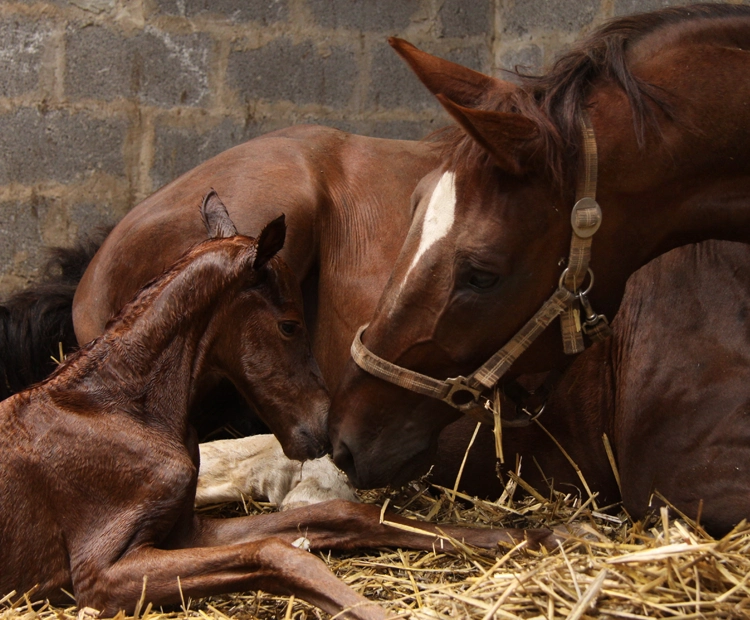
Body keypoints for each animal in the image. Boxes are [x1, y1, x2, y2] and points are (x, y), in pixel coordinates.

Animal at [0, 191, 556, 616]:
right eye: (289, 324)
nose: (324, 427)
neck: (117, 406)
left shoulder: (185, 531)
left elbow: (346, 517)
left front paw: (535, 535)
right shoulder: (102, 573)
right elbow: (280, 553)